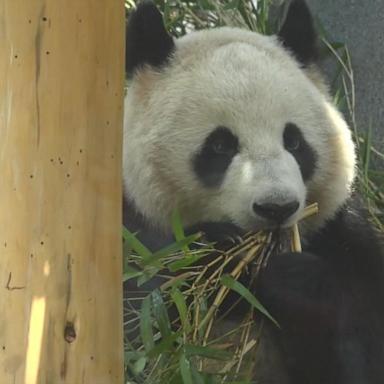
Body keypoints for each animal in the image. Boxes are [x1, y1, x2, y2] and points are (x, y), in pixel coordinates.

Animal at [124, 1, 384, 382]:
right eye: (220, 145)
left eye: (294, 141)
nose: (277, 207)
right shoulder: (130, 230)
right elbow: (144, 313)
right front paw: (219, 247)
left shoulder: (344, 235)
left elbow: (363, 341)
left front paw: (294, 279)